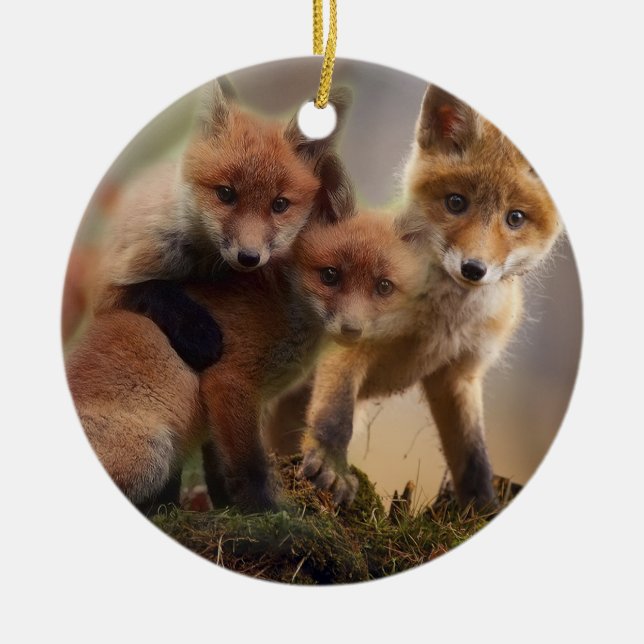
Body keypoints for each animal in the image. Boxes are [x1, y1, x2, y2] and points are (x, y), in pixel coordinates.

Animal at [66, 208, 429, 512]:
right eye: (330, 275)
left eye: (383, 287)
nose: (353, 329)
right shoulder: (230, 382)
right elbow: (247, 466)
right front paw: (266, 514)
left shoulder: (224, 408)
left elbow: (220, 469)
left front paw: (229, 509)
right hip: (152, 453)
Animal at [91, 79, 352, 371]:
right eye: (226, 194)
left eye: (279, 204)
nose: (249, 257)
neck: (203, 266)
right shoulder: (109, 285)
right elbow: (155, 289)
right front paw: (197, 332)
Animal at [299, 84, 562, 510]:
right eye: (456, 202)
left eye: (515, 218)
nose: (473, 269)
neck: (441, 321)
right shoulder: (350, 335)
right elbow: (336, 416)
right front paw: (330, 465)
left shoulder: (459, 374)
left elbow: (473, 454)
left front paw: (481, 506)